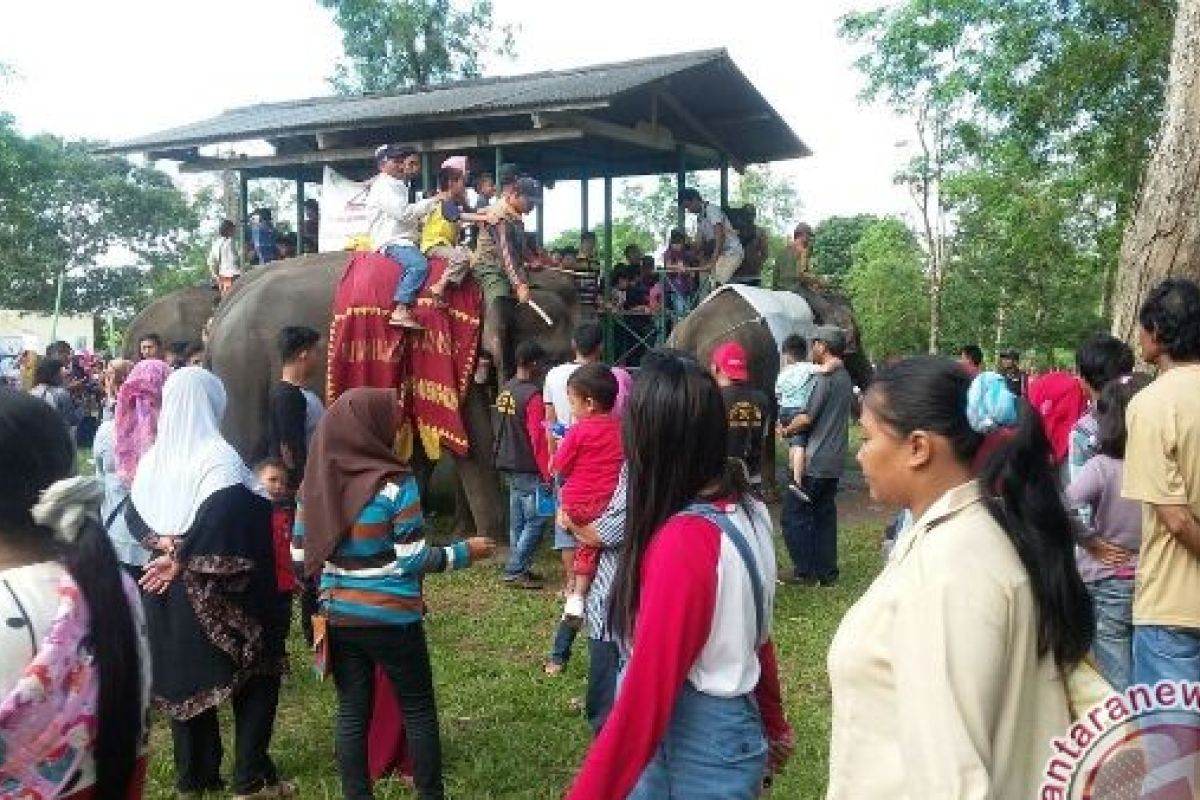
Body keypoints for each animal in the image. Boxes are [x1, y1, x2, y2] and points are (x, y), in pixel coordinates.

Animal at [204, 250, 578, 537]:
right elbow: (472, 437)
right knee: (247, 449)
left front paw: (447, 528)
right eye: (551, 358)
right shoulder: (452, 346)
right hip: (243, 373)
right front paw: (492, 544)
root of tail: (219, 315)